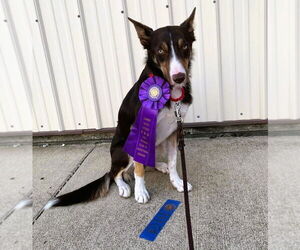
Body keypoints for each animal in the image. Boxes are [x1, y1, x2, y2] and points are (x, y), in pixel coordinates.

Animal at [43, 7, 196, 209]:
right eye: (160, 50)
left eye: (184, 46)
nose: (179, 77)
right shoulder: (140, 131)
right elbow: (139, 169)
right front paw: (140, 191)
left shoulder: (173, 131)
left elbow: (172, 161)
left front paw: (177, 181)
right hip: (124, 149)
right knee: (115, 174)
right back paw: (124, 186)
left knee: (144, 163)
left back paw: (159, 166)